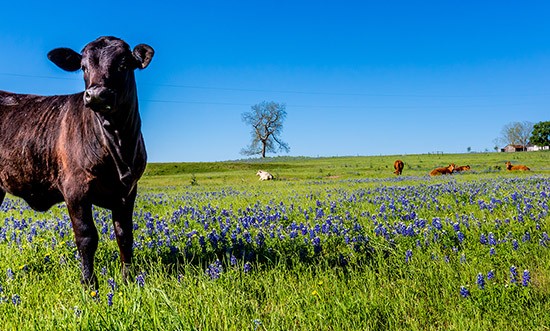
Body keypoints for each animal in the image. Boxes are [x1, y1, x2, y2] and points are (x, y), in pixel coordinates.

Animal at [0, 36, 155, 288]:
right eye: (83, 67)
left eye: (123, 64)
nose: (96, 94)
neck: (118, 144)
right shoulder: (75, 190)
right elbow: (86, 237)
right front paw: (90, 284)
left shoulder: (128, 191)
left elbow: (124, 235)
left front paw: (128, 280)